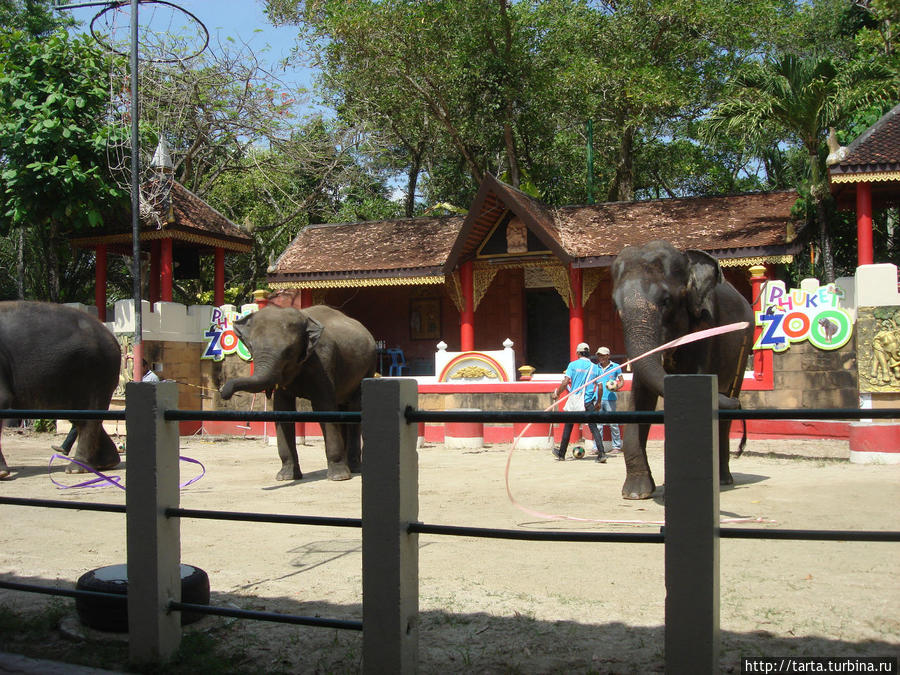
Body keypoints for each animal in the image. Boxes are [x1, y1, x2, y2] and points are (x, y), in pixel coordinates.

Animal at [0, 304, 122, 478]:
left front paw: (2, 474)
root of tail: (111, 336)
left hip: (99, 372)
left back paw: (76, 469)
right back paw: (105, 463)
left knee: (89, 416)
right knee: (78, 417)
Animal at [221, 304, 376, 484]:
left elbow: (324, 407)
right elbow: (282, 410)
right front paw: (285, 477)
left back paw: (354, 469)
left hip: (368, 368)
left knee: (354, 407)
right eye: (251, 346)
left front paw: (339, 477)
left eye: (288, 352)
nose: (223, 392)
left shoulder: (323, 361)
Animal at [612, 240, 752, 500]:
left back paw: (723, 480)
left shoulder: (706, 324)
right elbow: (640, 397)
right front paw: (636, 493)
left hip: (746, 343)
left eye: (666, 301)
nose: (737, 403)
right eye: (617, 307)